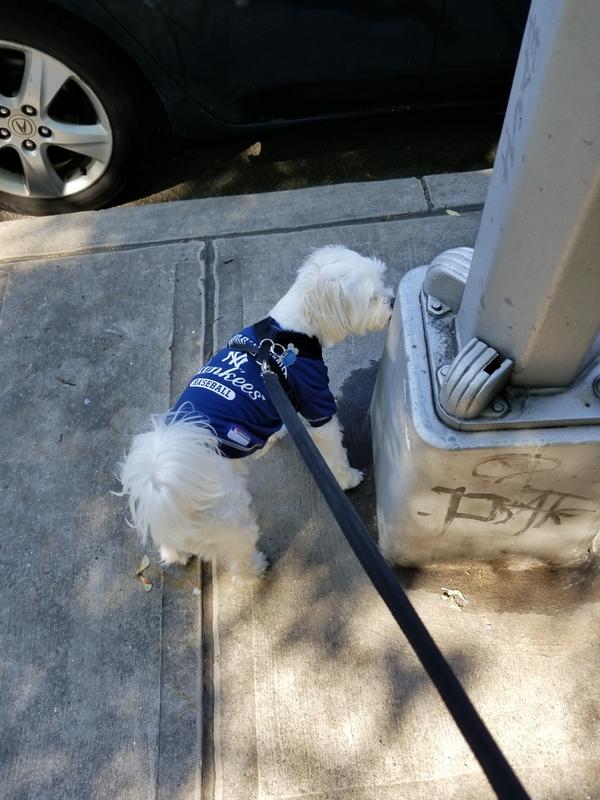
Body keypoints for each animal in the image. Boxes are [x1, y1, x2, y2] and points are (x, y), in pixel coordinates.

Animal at [117, 245, 394, 580]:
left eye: (382, 282)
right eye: (372, 298)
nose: (393, 301)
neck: (288, 333)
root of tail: (160, 485)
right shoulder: (316, 399)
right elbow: (332, 447)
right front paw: (348, 478)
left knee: (171, 545)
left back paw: (175, 554)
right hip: (231, 522)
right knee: (240, 555)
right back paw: (256, 568)